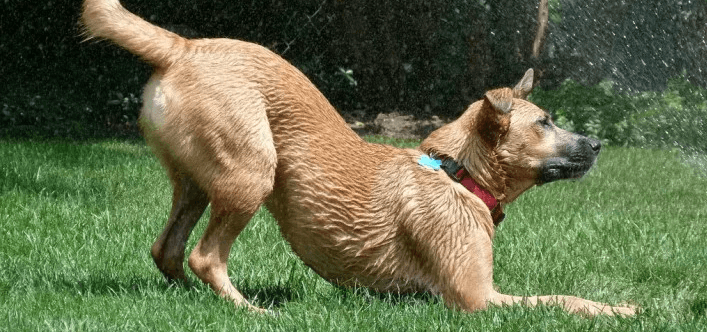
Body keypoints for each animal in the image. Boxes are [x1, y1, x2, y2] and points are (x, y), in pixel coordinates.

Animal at [80, 0, 640, 316]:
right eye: (544, 122)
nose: (596, 145)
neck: (456, 175)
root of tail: (184, 47)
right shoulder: (477, 300)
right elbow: (562, 300)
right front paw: (619, 309)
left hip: (197, 181)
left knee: (168, 250)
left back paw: (193, 300)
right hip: (251, 174)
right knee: (204, 256)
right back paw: (251, 312)